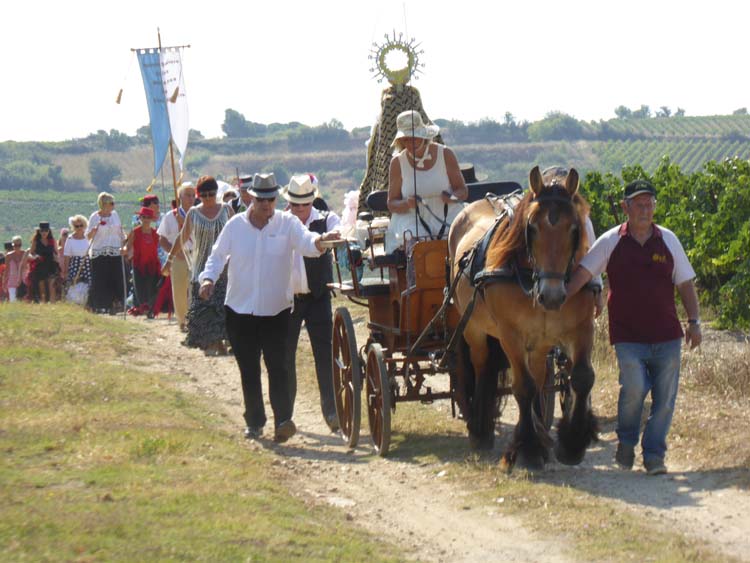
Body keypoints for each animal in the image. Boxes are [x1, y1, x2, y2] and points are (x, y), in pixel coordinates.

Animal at [450, 166, 604, 472]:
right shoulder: (510, 335)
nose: (552, 295)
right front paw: (529, 450)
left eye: (575, 229)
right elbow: (523, 387)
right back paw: (481, 430)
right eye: (531, 228)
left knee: (539, 375)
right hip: (473, 327)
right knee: (482, 365)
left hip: (540, 341)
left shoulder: (581, 328)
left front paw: (571, 444)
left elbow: (581, 377)